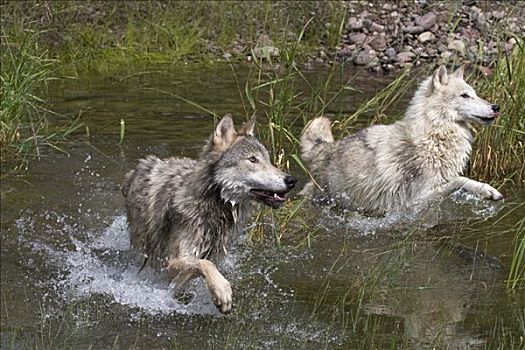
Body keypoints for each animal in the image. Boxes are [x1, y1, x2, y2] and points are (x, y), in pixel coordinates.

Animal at [122, 115, 294, 314]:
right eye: (253, 159)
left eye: (268, 159)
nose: (291, 180)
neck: (215, 211)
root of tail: (139, 167)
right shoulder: (170, 262)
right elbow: (203, 264)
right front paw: (222, 292)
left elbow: (198, 268)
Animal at [298, 64, 500, 215]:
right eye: (465, 96)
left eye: (475, 94)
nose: (496, 107)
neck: (432, 137)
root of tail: (326, 147)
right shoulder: (415, 201)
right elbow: (459, 181)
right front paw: (485, 190)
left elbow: (463, 181)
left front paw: (488, 190)